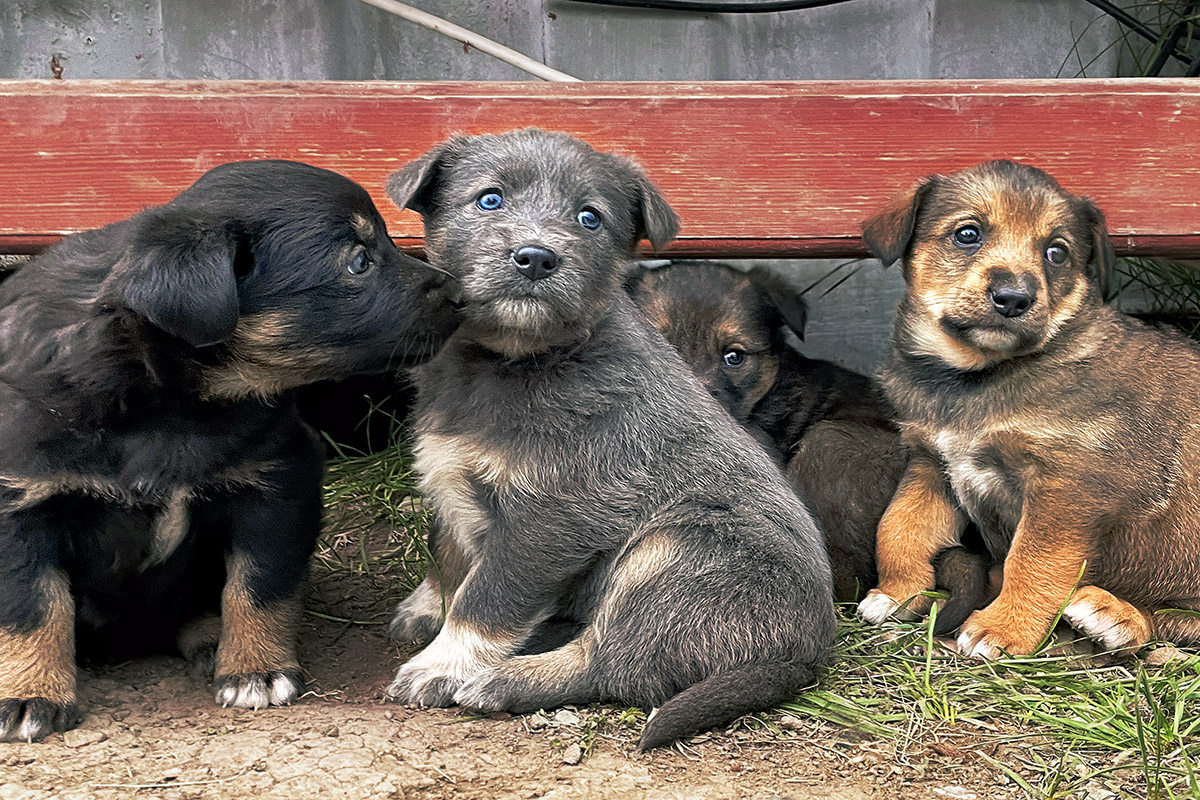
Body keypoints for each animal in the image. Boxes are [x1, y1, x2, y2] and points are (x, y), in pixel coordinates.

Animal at [0, 159, 458, 743]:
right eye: (358, 261)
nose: (460, 293)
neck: (171, 404)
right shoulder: (21, 505)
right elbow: (33, 605)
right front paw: (30, 694)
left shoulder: (277, 483)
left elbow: (258, 583)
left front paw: (255, 668)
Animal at [384, 130, 835, 753]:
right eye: (490, 199)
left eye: (589, 217)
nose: (536, 257)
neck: (516, 360)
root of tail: (806, 653)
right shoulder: (452, 479)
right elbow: (449, 557)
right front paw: (428, 607)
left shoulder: (551, 517)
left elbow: (486, 597)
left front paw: (443, 664)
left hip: (674, 551)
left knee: (612, 665)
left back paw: (506, 680)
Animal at [854, 159, 1200, 662]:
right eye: (968, 234)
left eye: (1057, 252)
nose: (1014, 298)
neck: (975, 378)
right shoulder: (931, 464)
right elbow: (899, 527)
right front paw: (897, 593)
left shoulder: (1067, 487)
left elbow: (1034, 560)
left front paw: (1004, 628)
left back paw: (1112, 615)